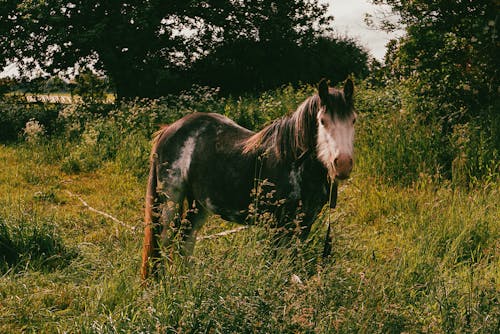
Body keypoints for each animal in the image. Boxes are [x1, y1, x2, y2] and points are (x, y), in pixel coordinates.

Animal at [142, 78, 356, 280]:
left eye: (353, 120)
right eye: (323, 121)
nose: (343, 164)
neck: (292, 160)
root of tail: (170, 128)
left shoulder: (304, 223)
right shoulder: (277, 224)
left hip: (199, 204)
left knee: (184, 241)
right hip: (169, 200)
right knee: (161, 242)